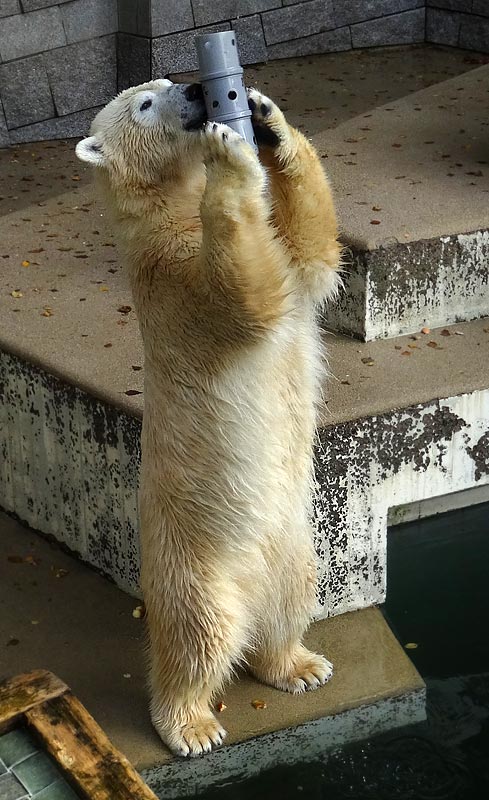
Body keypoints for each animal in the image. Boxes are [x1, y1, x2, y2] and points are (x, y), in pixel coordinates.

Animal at [76, 79, 342, 756]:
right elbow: (243, 294)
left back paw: (299, 665)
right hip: (193, 561)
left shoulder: (286, 263)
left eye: (168, 83)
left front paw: (269, 120)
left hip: (293, 547)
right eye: (146, 104)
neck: (165, 211)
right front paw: (230, 155)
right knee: (199, 639)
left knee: (292, 601)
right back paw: (190, 724)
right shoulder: (171, 279)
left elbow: (308, 253)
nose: (199, 91)